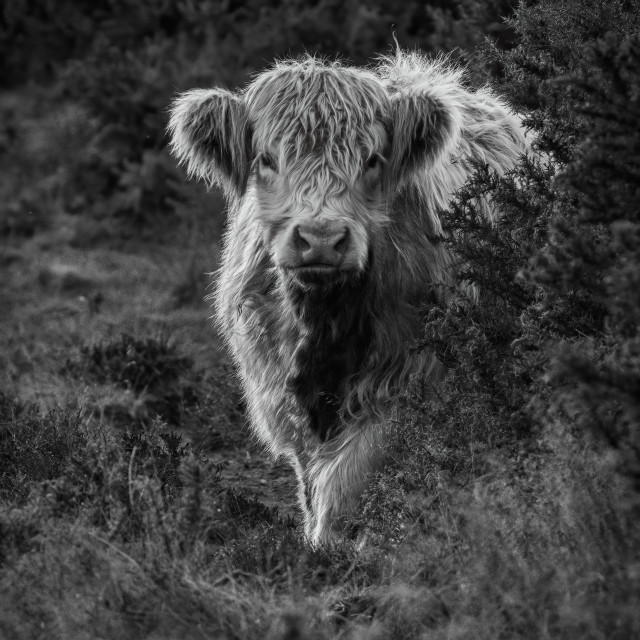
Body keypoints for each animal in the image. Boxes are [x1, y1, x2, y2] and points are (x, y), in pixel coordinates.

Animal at [168, 51, 528, 544]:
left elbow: (346, 481)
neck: (323, 323)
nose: (321, 239)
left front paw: (332, 545)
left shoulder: (409, 381)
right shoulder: (279, 389)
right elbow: (310, 481)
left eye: (373, 159)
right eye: (266, 158)